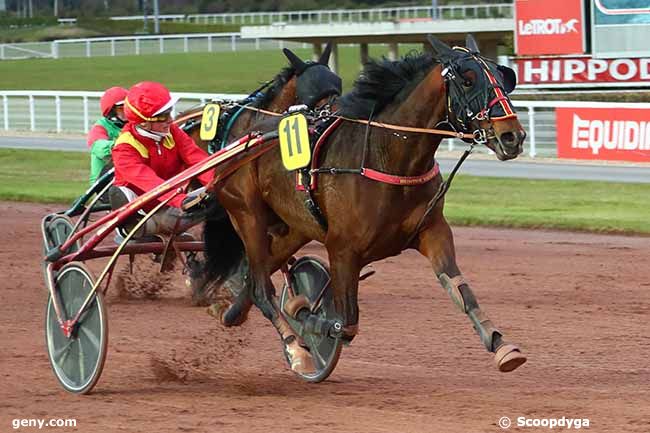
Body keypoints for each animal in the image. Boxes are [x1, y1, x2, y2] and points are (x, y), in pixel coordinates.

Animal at [206, 35, 528, 376]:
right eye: (467, 80)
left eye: (502, 77)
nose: (512, 135)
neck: (386, 155)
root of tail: (241, 136)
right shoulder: (342, 248)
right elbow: (345, 324)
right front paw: (308, 321)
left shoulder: (432, 231)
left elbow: (460, 290)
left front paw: (502, 345)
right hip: (248, 214)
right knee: (260, 286)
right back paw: (296, 348)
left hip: (295, 227)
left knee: (260, 273)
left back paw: (232, 312)